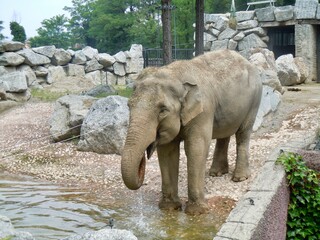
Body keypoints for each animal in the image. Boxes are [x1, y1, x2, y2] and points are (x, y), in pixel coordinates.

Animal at [120, 49, 262, 215]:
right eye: (129, 106)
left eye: (163, 110)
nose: (143, 157)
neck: (175, 74)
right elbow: (167, 152)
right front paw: (170, 208)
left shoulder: (203, 111)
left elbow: (196, 149)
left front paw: (196, 212)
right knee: (224, 135)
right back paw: (216, 173)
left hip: (254, 101)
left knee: (243, 134)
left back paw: (239, 178)